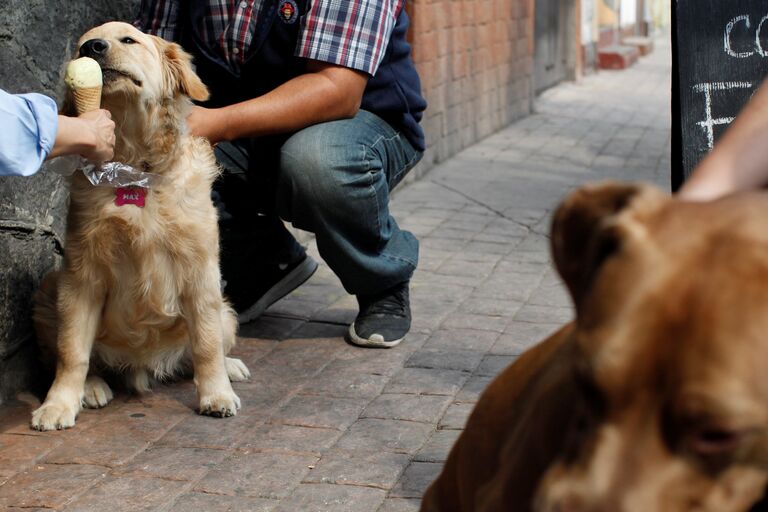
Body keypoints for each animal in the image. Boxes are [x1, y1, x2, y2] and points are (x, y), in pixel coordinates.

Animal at [31, 22, 249, 430]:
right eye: (82, 45)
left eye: (128, 39)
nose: (92, 47)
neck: (134, 168)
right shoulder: (81, 274)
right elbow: (72, 351)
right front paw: (58, 404)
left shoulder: (202, 270)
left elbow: (207, 343)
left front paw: (217, 394)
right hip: (49, 291)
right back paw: (91, 387)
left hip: (226, 308)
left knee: (209, 341)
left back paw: (230, 367)